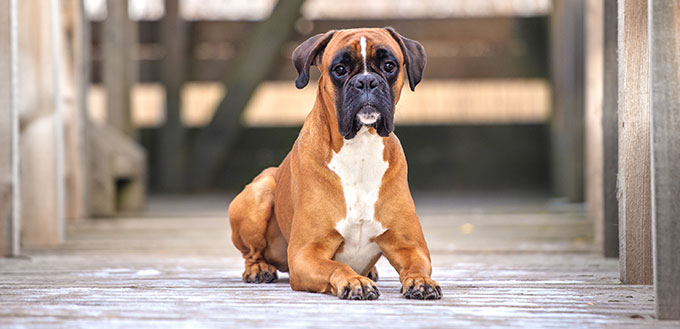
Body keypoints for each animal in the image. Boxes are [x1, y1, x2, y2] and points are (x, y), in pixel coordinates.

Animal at [228, 27, 440, 300]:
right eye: (339, 69)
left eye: (389, 65)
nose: (367, 81)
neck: (360, 148)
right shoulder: (305, 254)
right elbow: (335, 266)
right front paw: (354, 281)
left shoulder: (410, 246)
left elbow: (417, 266)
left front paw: (420, 280)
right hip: (260, 190)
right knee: (252, 252)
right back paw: (258, 269)